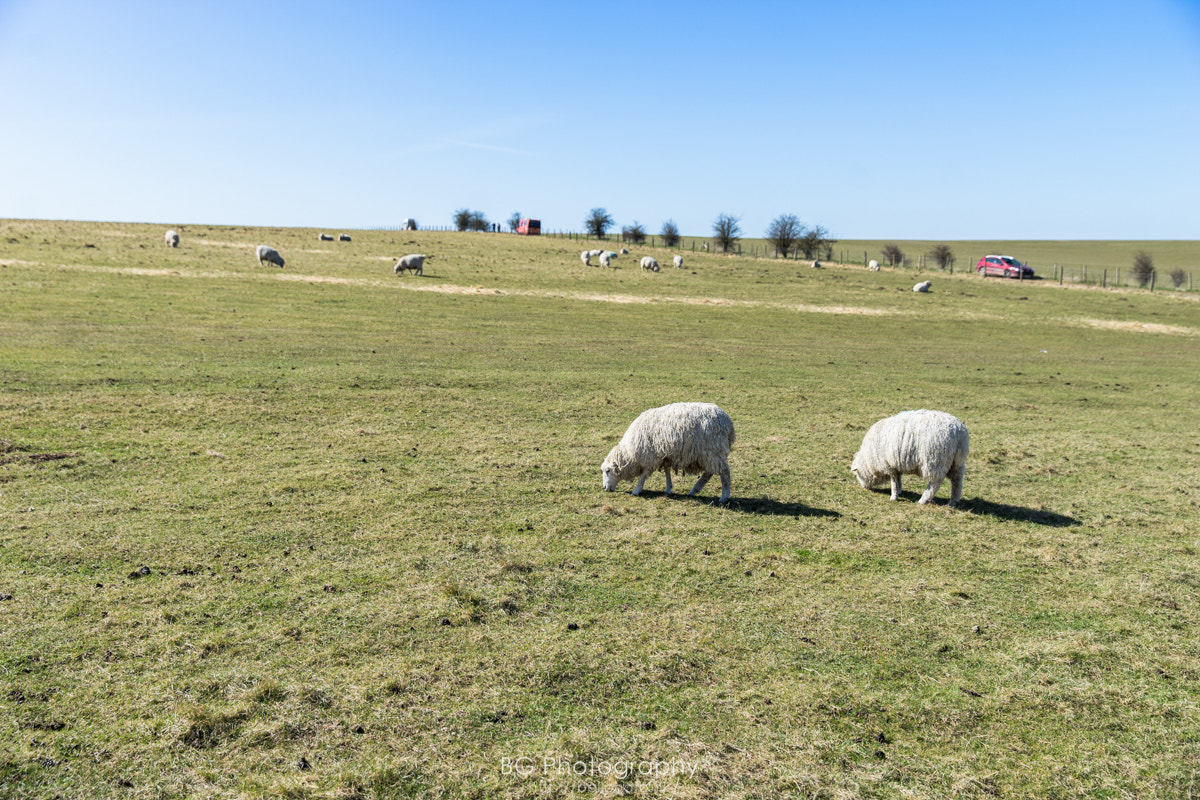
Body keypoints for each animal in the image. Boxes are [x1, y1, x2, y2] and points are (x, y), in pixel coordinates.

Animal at [597, 402, 729, 503]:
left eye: (607, 471)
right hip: (711, 454)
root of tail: (728, 422)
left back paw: (724, 497)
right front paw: (668, 488)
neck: (630, 452)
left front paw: (636, 490)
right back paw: (694, 491)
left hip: (713, 450)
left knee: (724, 472)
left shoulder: (650, 456)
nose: (604, 488)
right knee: (709, 473)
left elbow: (644, 475)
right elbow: (667, 470)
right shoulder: (664, 455)